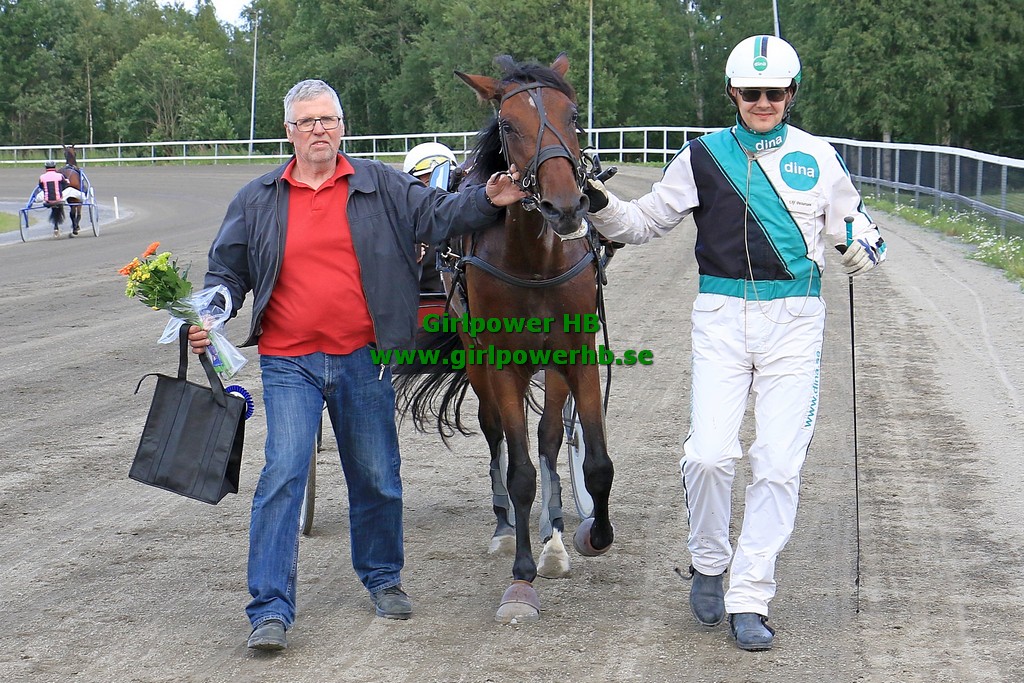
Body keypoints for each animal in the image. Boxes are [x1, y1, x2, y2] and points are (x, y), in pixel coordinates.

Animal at [394, 53, 614, 624]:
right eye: (509, 125)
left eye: (572, 115)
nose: (565, 205)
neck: (535, 260)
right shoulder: (500, 362)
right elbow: (519, 472)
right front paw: (521, 575)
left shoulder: (575, 354)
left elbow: (592, 460)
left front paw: (587, 535)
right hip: (475, 359)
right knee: (495, 433)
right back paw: (503, 526)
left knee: (551, 438)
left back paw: (552, 530)